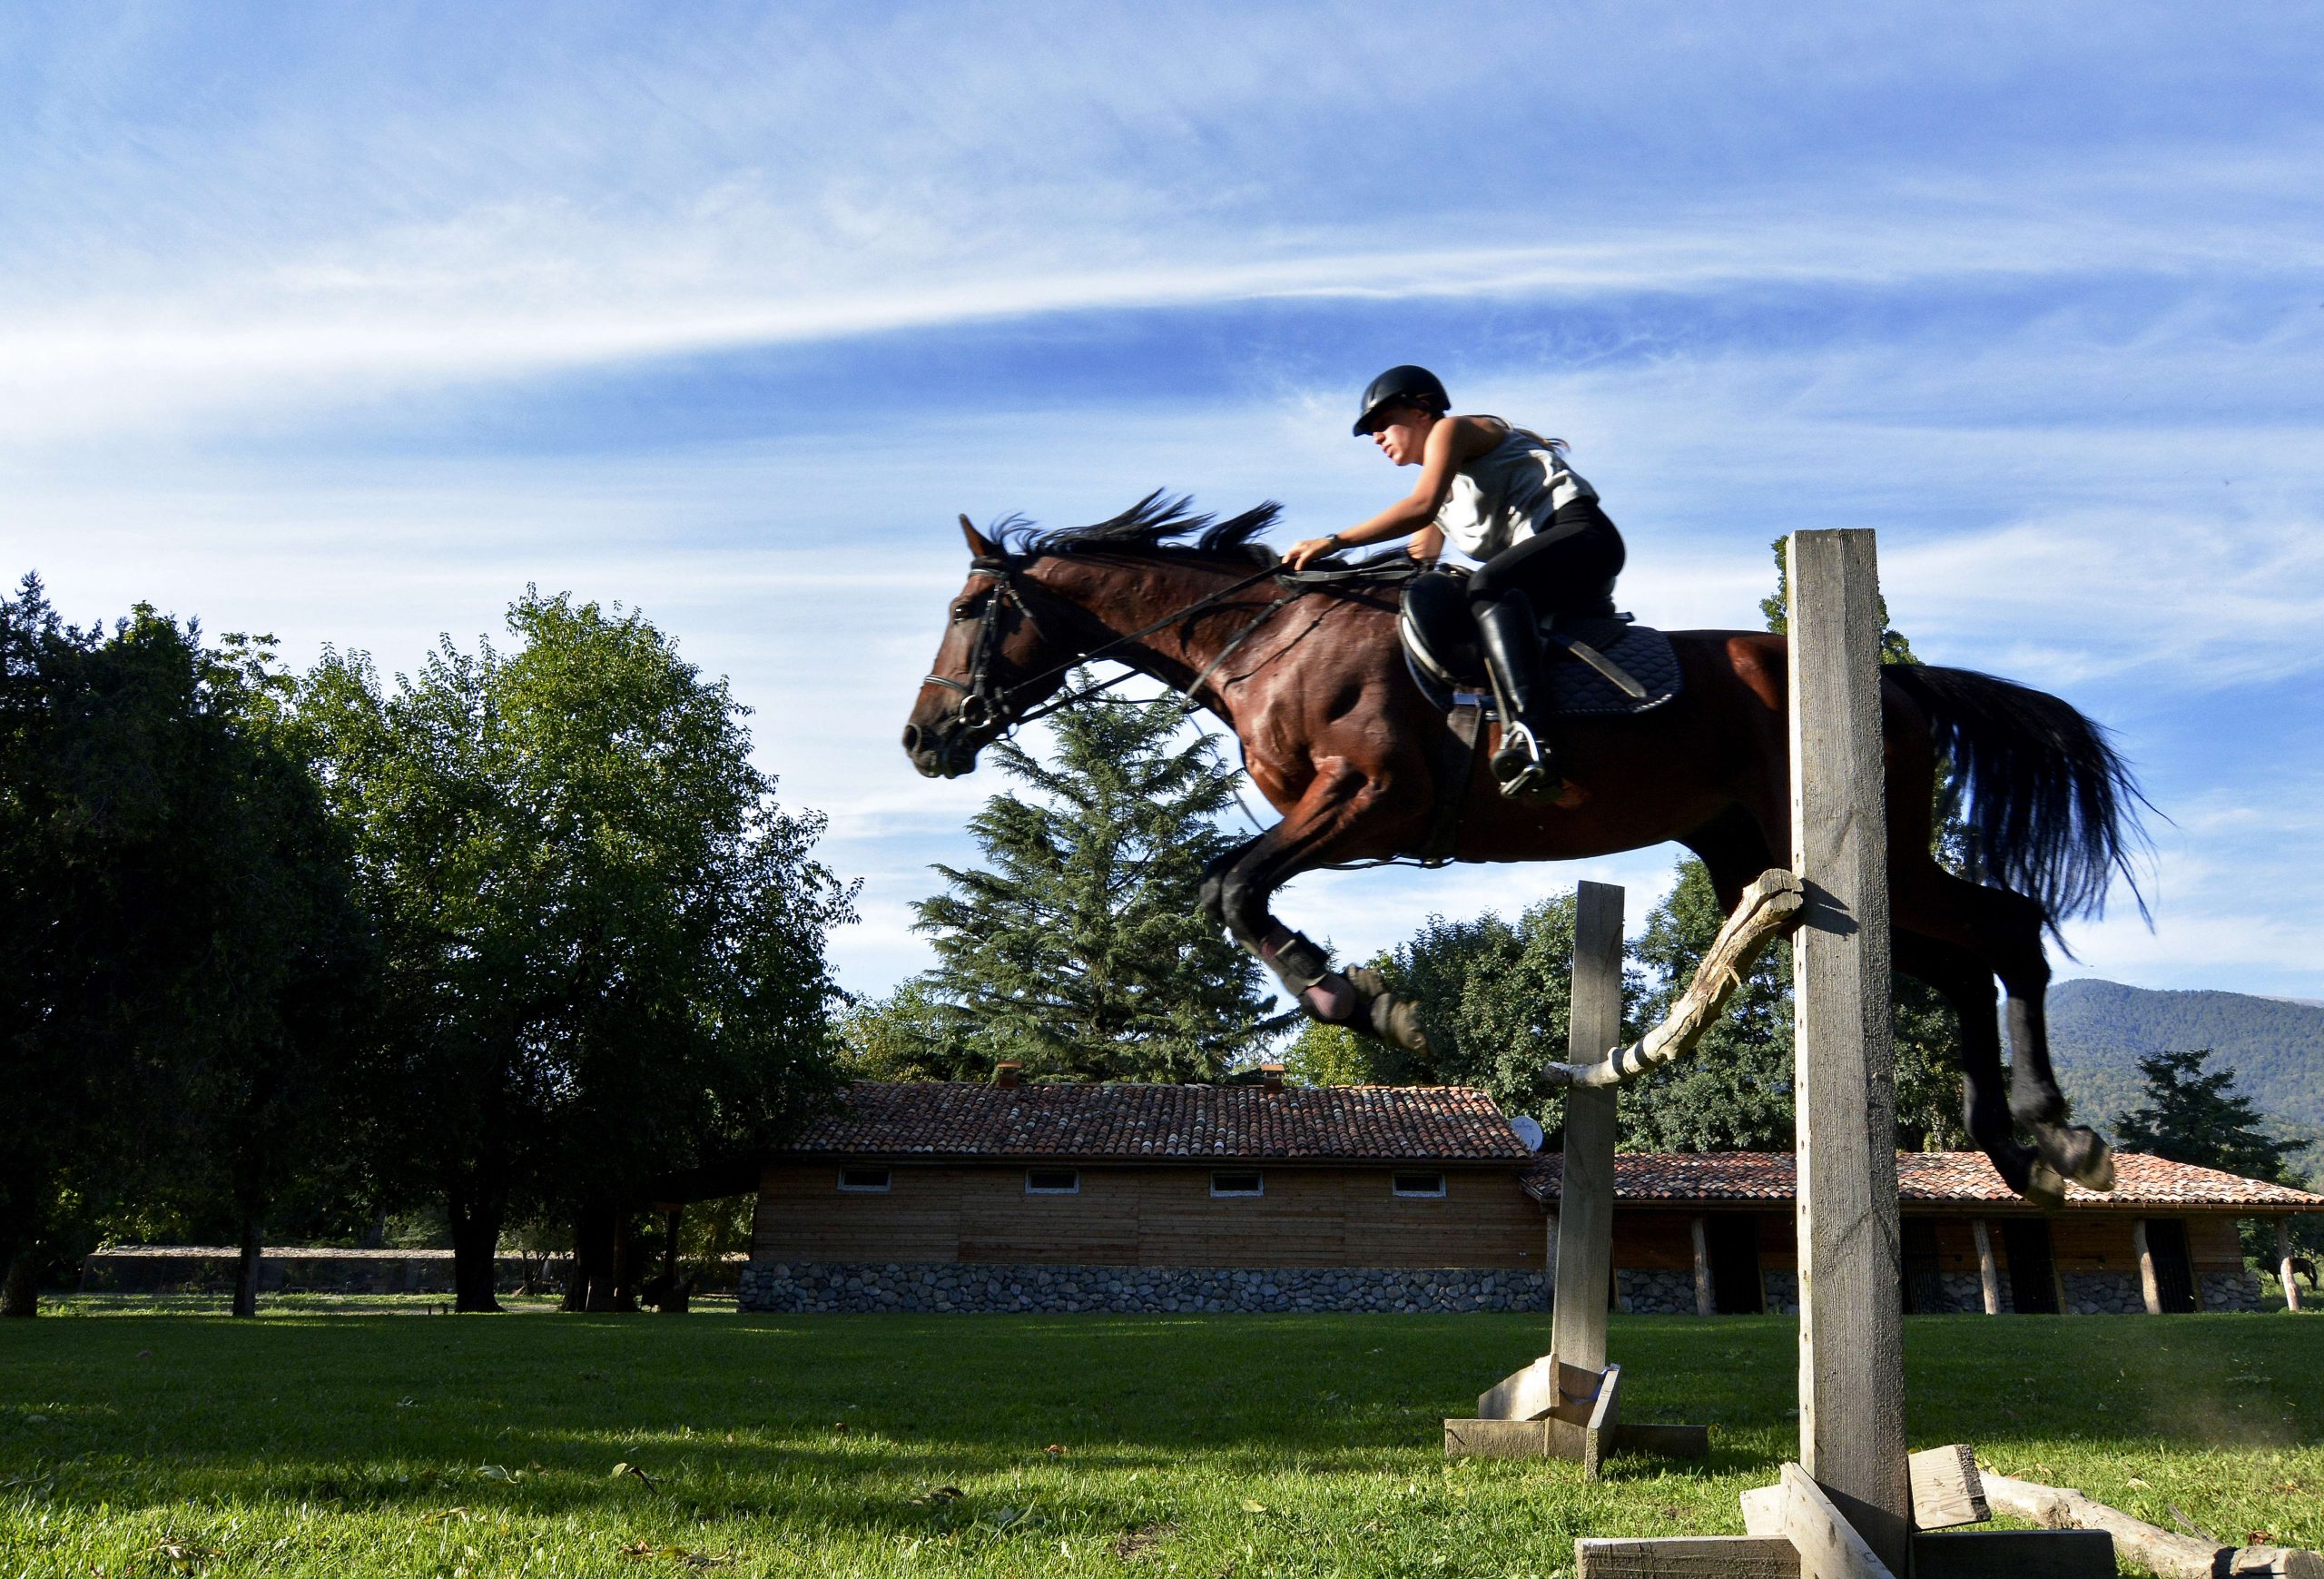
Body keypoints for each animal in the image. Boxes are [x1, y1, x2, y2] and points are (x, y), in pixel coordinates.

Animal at [897, 498, 2147, 1209]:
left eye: (964, 610)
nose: (922, 739)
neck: (1266, 641)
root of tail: (1898, 680)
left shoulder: (1372, 796)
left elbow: (1237, 883)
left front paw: (1365, 1003)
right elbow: (1227, 885)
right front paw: (1344, 986)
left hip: (1848, 839)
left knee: (2006, 929)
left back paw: (2059, 1132)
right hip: (1757, 858)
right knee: (1959, 962)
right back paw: (2014, 1151)